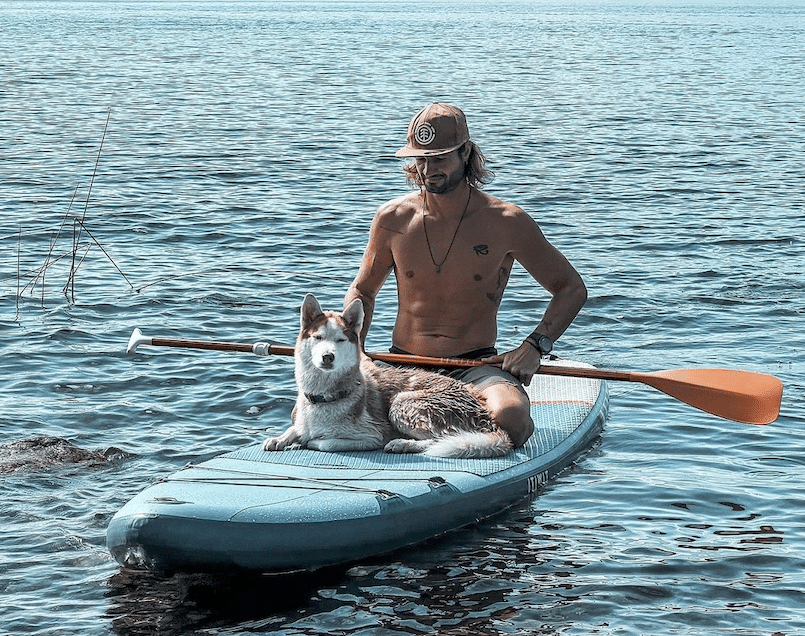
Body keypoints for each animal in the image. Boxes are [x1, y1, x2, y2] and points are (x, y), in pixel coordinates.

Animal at [264, 294, 516, 458]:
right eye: (318, 337)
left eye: (340, 340)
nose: (328, 356)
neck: (325, 397)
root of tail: (486, 415)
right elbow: (295, 429)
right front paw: (280, 438)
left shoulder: (373, 436)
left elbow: (324, 442)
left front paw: (309, 441)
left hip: (402, 403)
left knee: (442, 439)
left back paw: (403, 444)